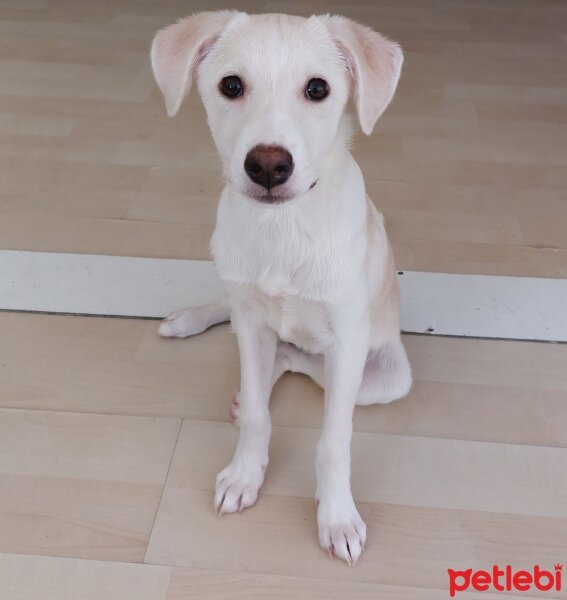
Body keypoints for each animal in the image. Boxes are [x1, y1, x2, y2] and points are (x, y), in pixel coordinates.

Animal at [151, 10, 412, 568]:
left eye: (318, 89)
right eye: (231, 85)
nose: (268, 165)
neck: (283, 226)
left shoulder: (348, 340)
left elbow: (333, 441)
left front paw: (336, 518)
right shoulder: (251, 323)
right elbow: (255, 416)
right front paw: (244, 475)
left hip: (382, 378)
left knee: (301, 361)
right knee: (254, 336)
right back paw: (191, 321)